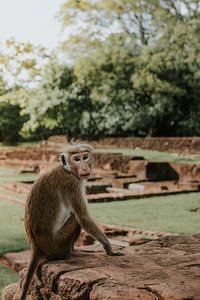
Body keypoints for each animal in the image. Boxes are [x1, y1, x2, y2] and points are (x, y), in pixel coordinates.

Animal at [20, 139, 123, 298]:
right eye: (77, 159)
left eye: (85, 157)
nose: (84, 165)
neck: (67, 170)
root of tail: (35, 247)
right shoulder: (72, 183)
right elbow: (82, 217)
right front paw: (109, 247)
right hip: (57, 244)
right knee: (75, 219)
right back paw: (67, 253)